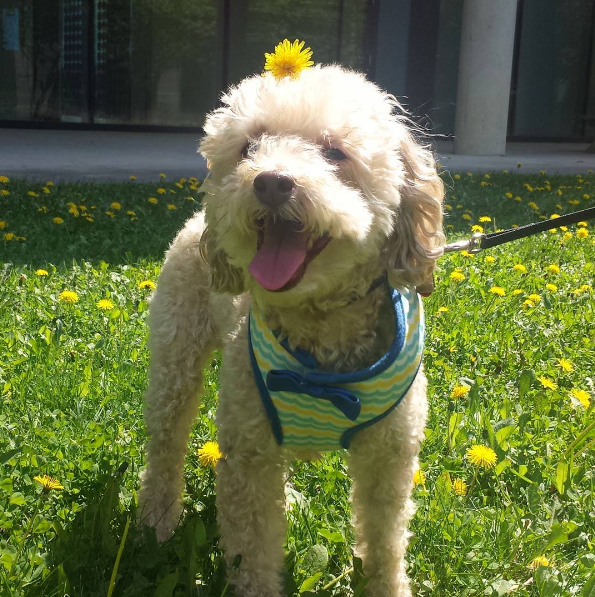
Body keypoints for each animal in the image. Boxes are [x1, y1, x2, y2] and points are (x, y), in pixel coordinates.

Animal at [138, 62, 444, 596]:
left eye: (335, 151)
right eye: (248, 148)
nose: (271, 183)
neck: (320, 326)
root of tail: (199, 216)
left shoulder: (389, 455)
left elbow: (386, 539)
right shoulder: (250, 456)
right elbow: (254, 549)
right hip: (177, 356)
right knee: (166, 441)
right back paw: (158, 518)